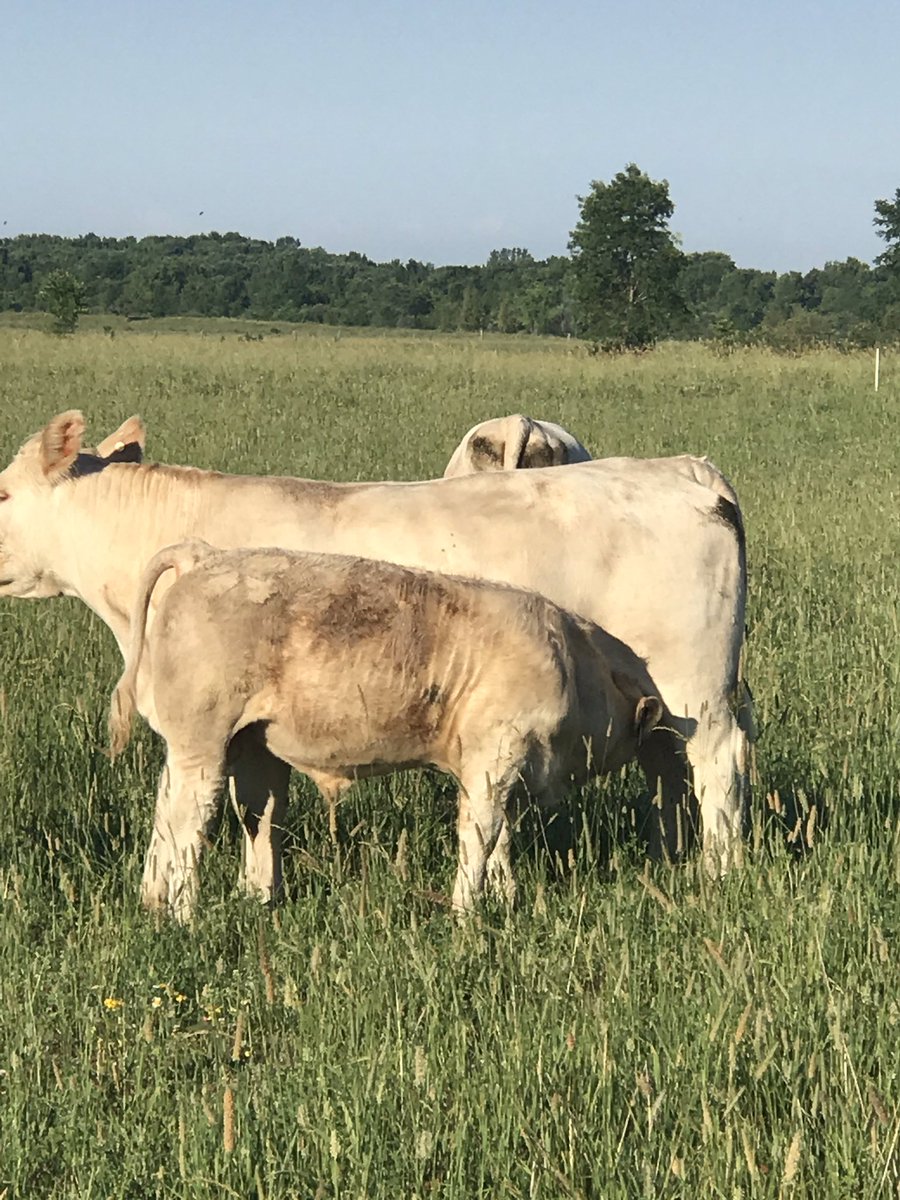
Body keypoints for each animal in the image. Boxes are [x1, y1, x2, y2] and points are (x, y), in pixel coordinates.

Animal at [108, 540, 666, 921]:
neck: (575, 664)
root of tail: (205, 556)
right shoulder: (496, 757)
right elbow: (481, 835)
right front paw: (467, 910)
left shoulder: (502, 770)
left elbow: (502, 839)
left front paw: (505, 898)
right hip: (202, 745)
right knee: (188, 823)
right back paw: (184, 912)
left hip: (241, 748)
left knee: (236, 819)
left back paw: (197, 900)